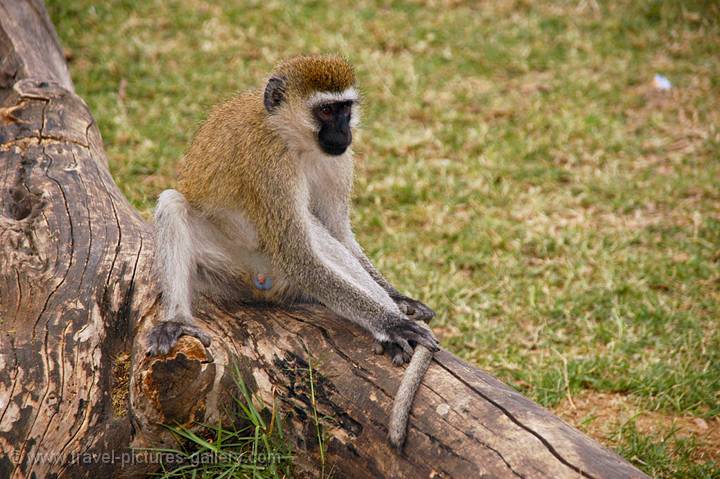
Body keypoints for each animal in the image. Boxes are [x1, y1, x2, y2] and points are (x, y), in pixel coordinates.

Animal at [149, 55, 436, 450]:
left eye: (345, 109)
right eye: (326, 110)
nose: (343, 133)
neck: (295, 141)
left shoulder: (339, 160)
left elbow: (339, 232)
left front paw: (399, 300)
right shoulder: (270, 166)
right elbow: (300, 256)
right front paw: (392, 324)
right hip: (234, 267)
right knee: (174, 203)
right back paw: (176, 320)